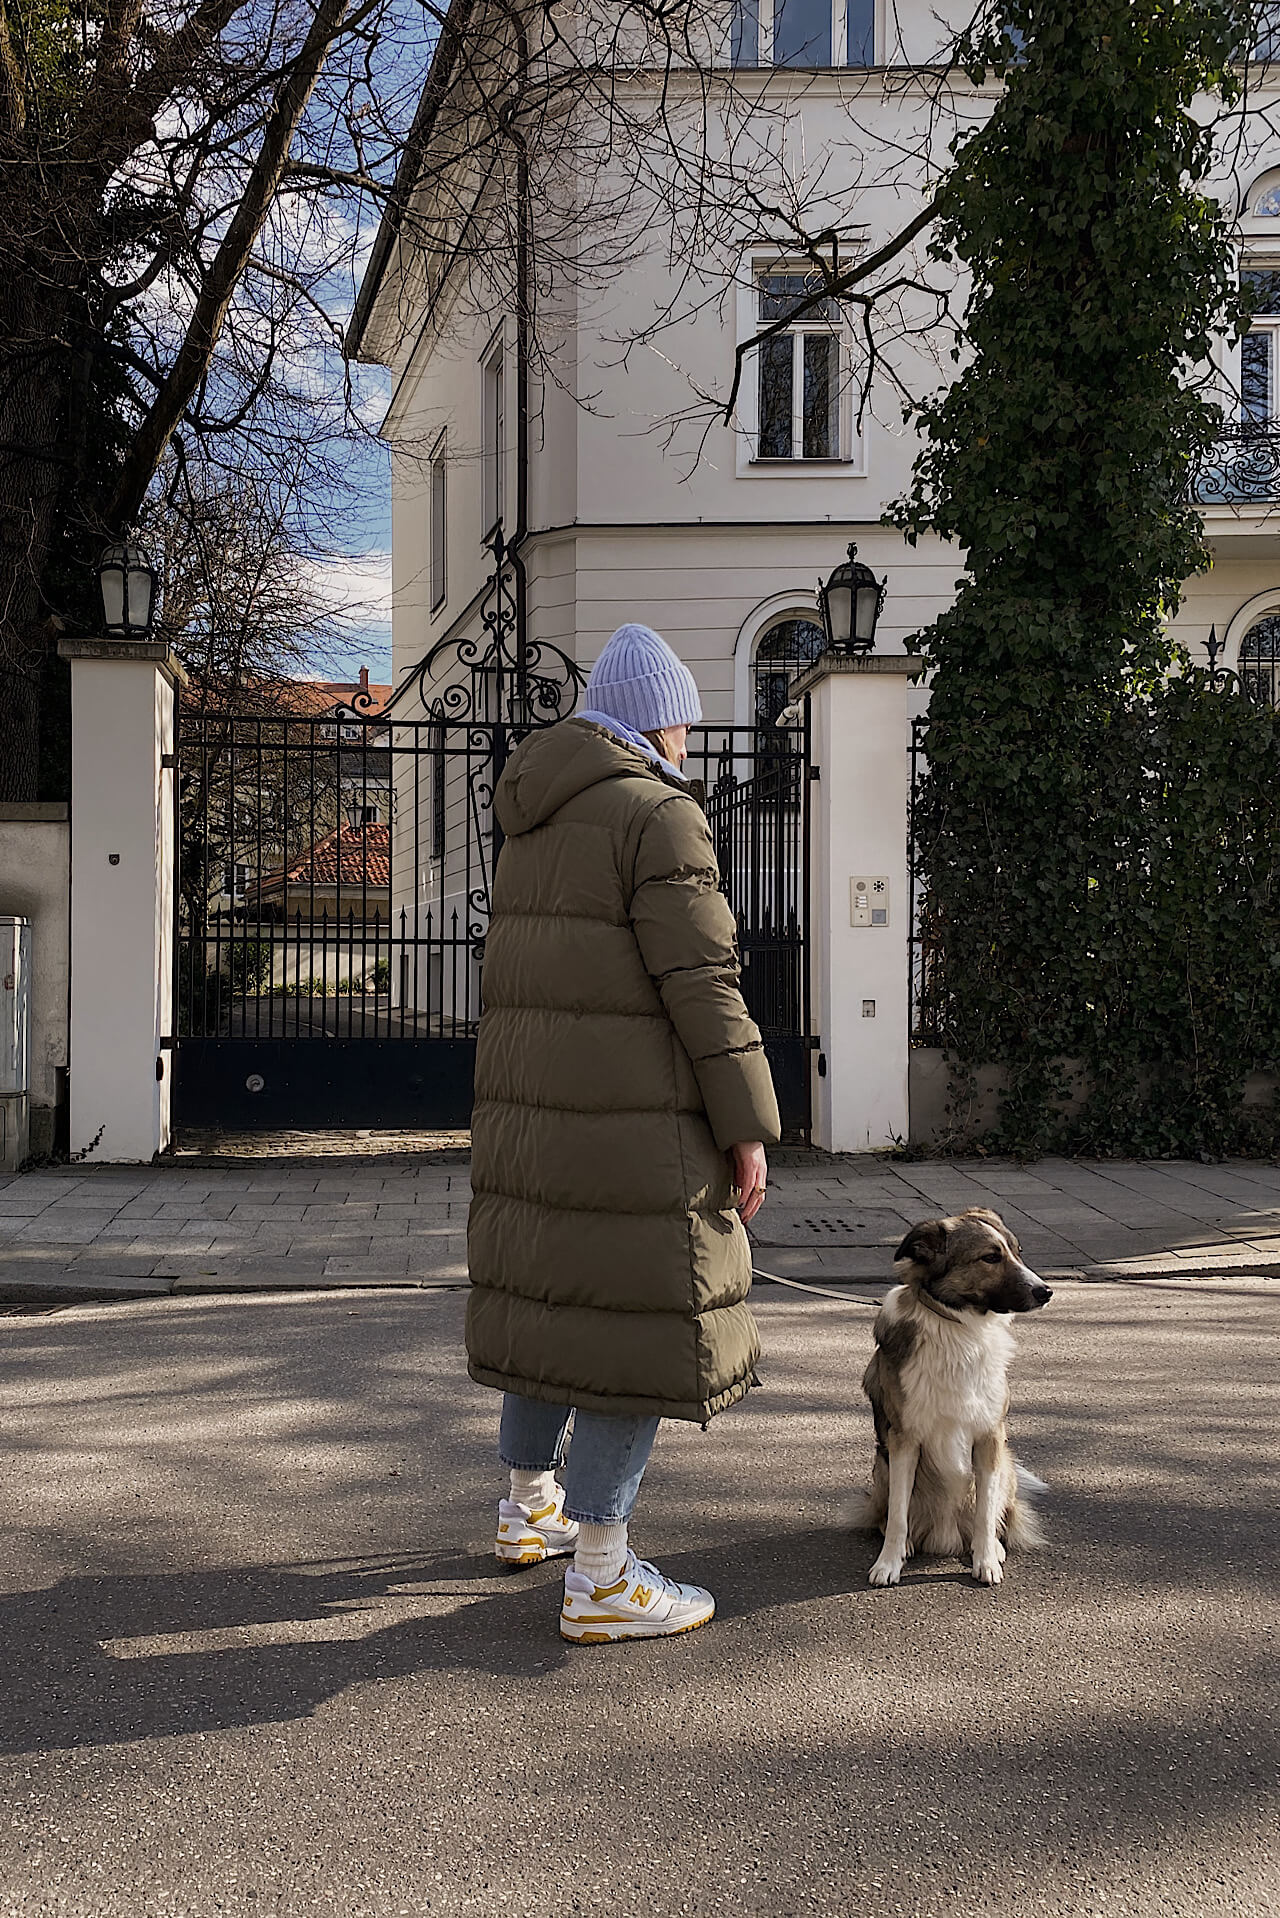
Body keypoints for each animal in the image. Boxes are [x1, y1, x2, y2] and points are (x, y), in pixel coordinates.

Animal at [859, 1212, 1051, 1588]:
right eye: (990, 1257)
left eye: (1018, 1251)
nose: (1046, 1291)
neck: (958, 1327)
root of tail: (944, 1533)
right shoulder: (904, 1440)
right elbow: (898, 1513)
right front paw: (888, 1563)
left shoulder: (989, 1437)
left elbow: (986, 1511)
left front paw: (986, 1559)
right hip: (882, 1465)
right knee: (889, 1515)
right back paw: (907, 1543)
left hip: (1006, 1464)